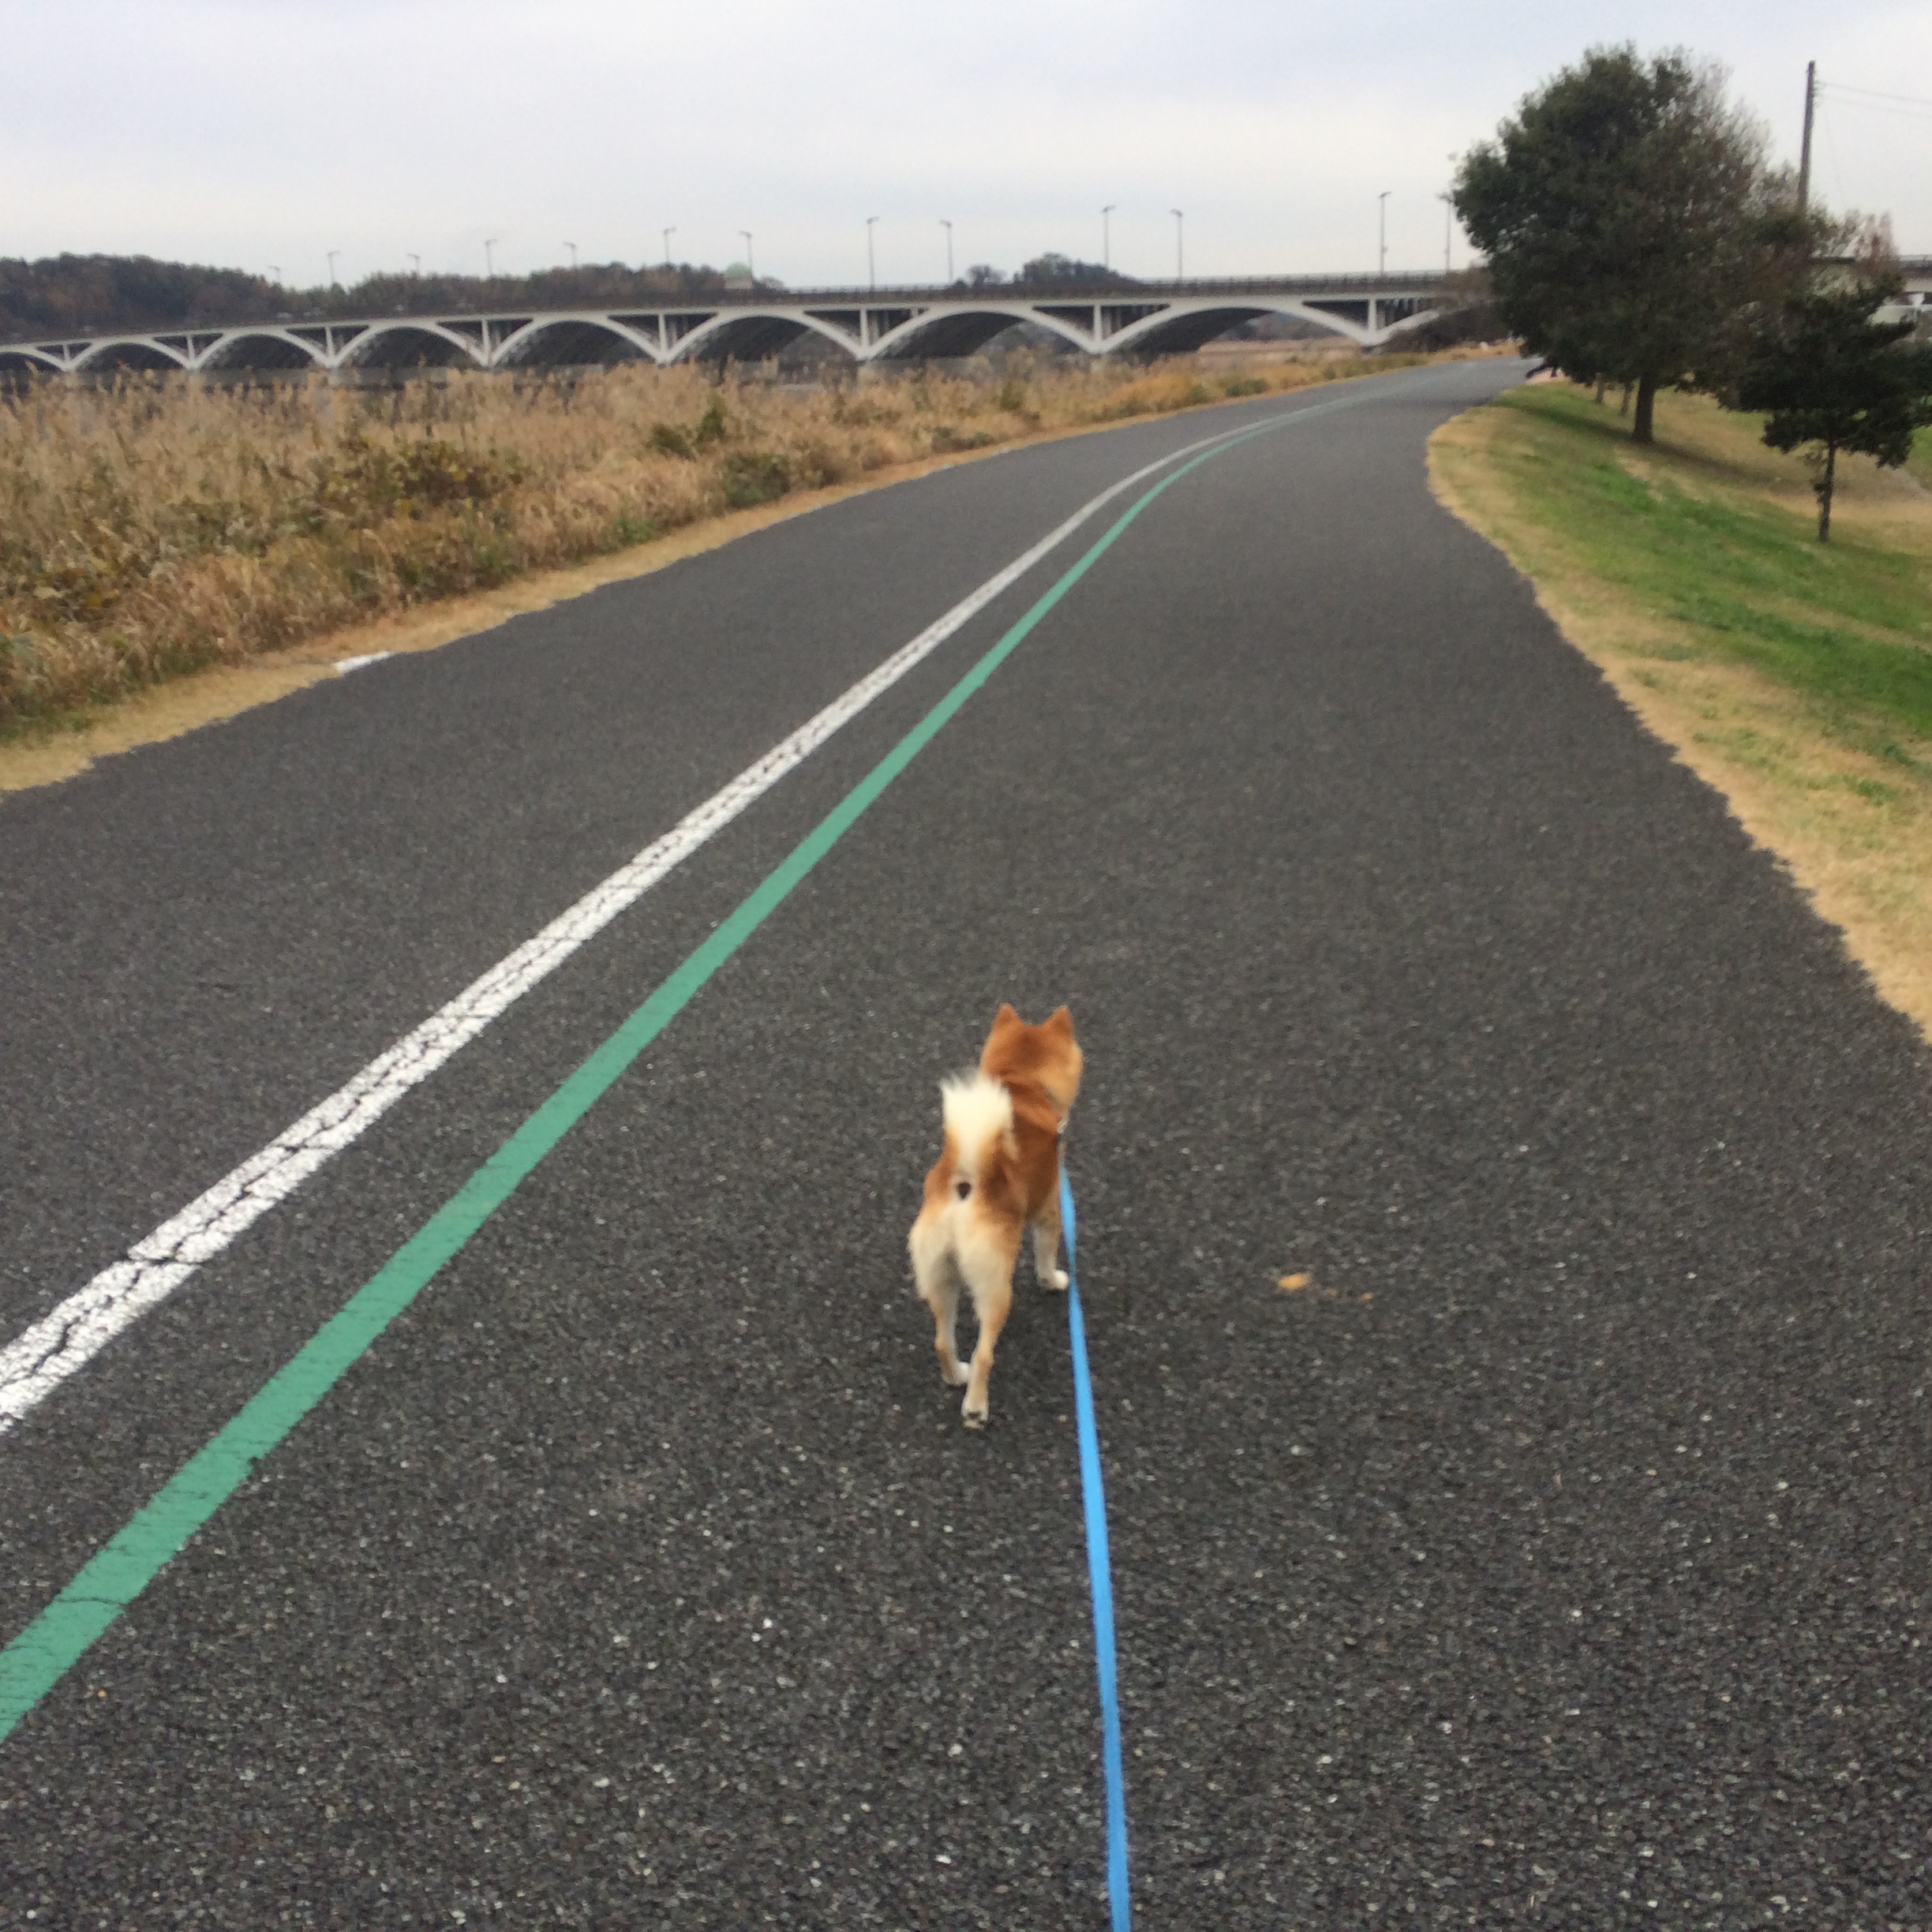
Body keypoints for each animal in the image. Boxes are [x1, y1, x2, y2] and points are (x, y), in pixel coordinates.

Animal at [908, 1004, 1081, 1429]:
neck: (1022, 1084)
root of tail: (966, 1184)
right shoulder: (1049, 1209)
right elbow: (1046, 1255)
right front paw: (1053, 1280)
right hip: (995, 1288)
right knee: (985, 1353)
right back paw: (975, 1408)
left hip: (940, 1277)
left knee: (942, 1341)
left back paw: (957, 1375)